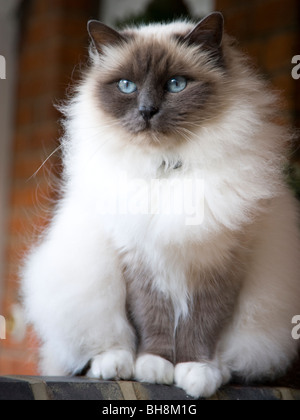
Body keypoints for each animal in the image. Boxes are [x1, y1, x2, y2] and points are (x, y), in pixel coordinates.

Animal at [21, 13, 300, 398]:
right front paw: (155, 367)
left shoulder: (218, 263)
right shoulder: (139, 259)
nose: (146, 111)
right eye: (127, 86)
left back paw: (219, 372)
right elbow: (152, 321)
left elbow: (202, 326)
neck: (167, 169)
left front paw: (195, 371)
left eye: (176, 84)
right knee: (93, 351)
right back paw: (116, 366)